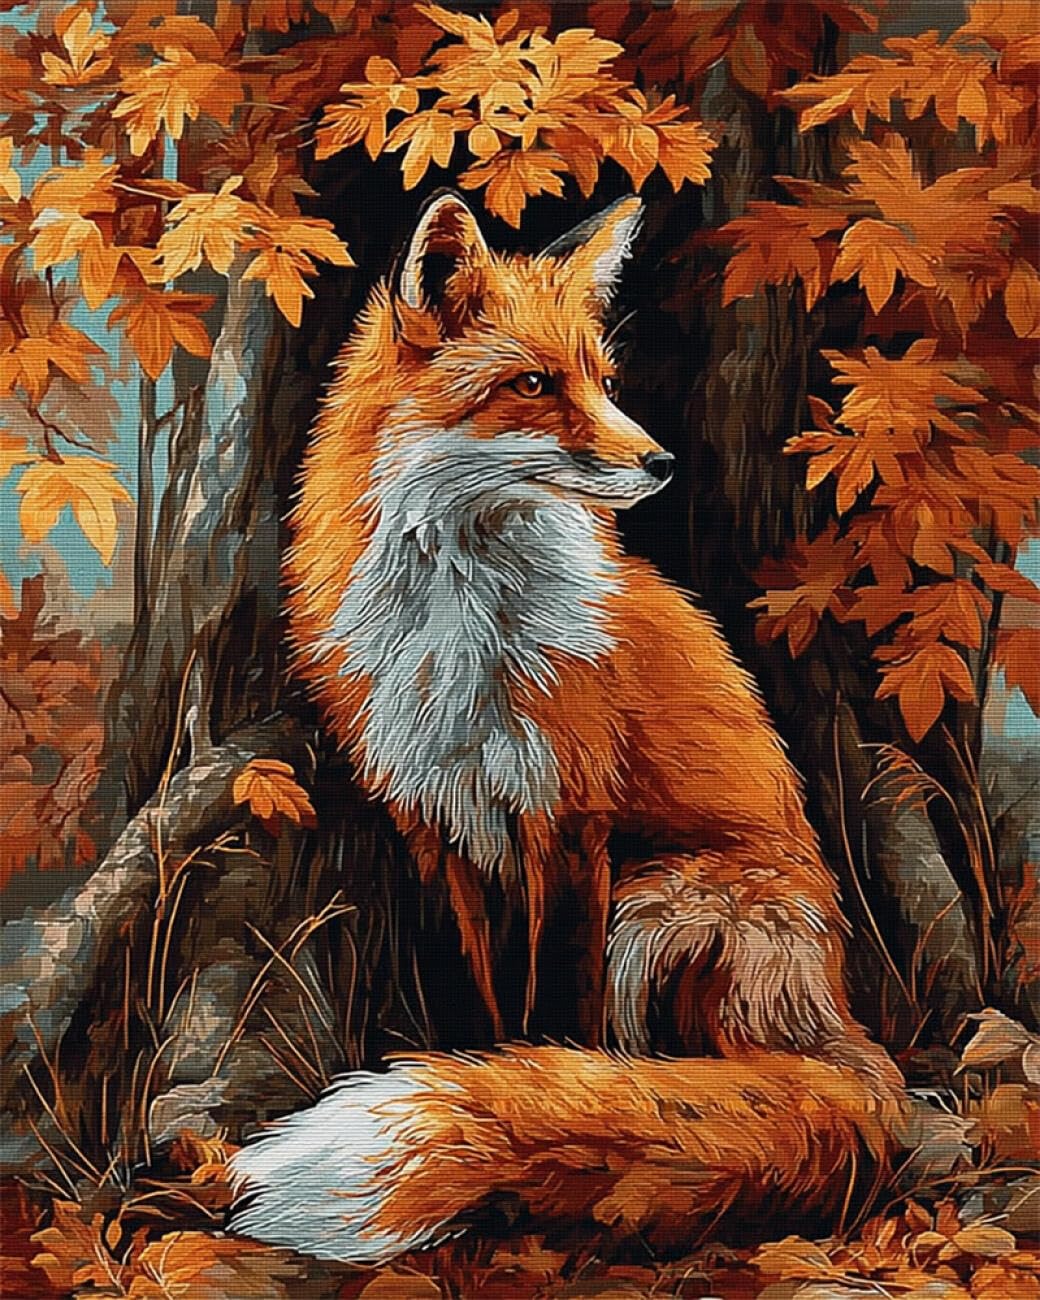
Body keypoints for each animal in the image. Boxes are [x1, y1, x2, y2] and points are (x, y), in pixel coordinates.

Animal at [228, 191, 908, 1263]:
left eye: (603, 380)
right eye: (534, 385)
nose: (661, 461)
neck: (461, 625)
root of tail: (837, 1026)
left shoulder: (573, 822)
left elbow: (564, 1009)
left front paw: (551, 1102)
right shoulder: (436, 824)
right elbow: (489, 995)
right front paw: (494, 1070)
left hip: (663, 903)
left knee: (695, 1062)